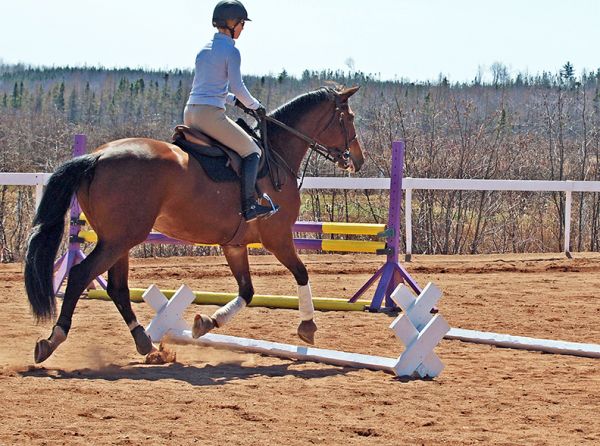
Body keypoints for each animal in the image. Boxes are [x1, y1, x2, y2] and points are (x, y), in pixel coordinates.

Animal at [25, 85, 364, 364]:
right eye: (349, 117)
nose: (357, 161)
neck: (275, 155)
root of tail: (97, 156)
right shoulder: (277, 237)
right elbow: (301, 273)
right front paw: (307, 326)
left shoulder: (234, 244)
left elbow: (247, 291)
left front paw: (206, 323)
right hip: (120, 239)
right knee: (81, 275)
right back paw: (52, 340)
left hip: (119, 240)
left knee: (118, 289)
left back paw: (145, 342)